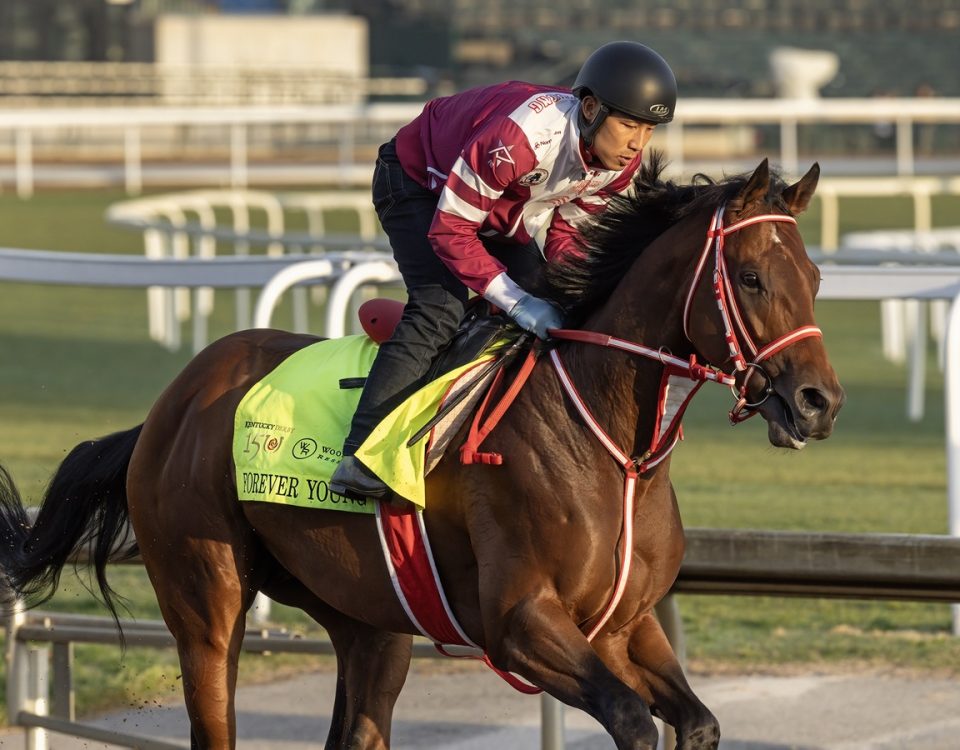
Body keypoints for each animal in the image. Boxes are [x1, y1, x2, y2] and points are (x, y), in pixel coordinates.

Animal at [0, 154, 840, 750]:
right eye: (752, 277)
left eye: (815, 275)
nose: (819, 401)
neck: (612, 450)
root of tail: (166, 410)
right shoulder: (521, 623)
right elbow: (632, 721)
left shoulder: (627, 625)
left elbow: (696, 721)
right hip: (206, 603)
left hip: (367, 619)